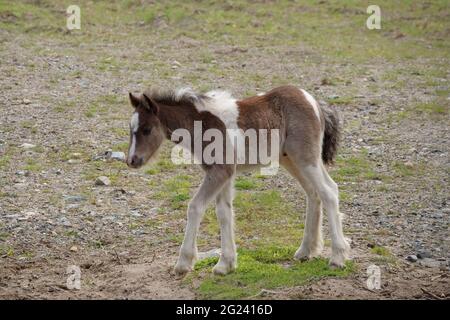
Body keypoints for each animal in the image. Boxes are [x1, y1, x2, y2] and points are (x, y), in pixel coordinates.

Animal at [126, 85, 352, 276]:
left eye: (146, 129)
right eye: (131, 130)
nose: (132, 160)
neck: (201, 125)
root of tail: (314, 102)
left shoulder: (220, 171)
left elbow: (195, 207)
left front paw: (184, 262)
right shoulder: (225, 174)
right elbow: (224, 213)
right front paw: (226, 264)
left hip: (306, 158)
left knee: (329, 192)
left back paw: (337, 257)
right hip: (292, 159)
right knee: (314, 193)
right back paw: (306, 250)